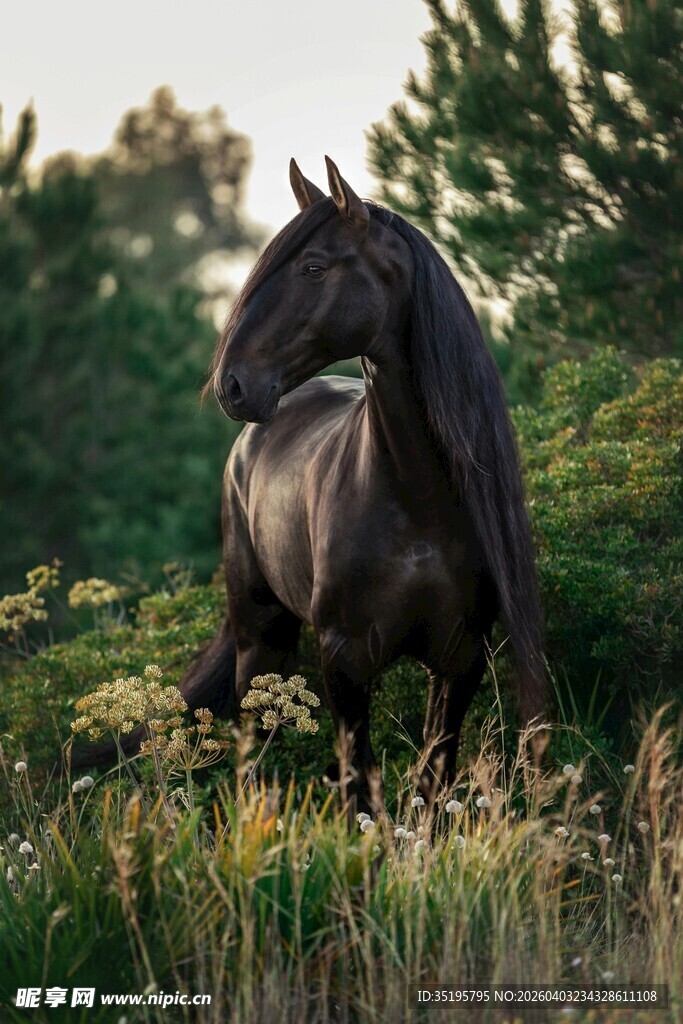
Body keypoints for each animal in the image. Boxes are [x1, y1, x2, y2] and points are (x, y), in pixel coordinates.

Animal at [76, 157, 545, 809]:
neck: (417, 501)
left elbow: (431, 784)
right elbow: (358, 788)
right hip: (260, 638)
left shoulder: (459, 660)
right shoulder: (345, 662)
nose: (233, 385)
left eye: (314, 267)